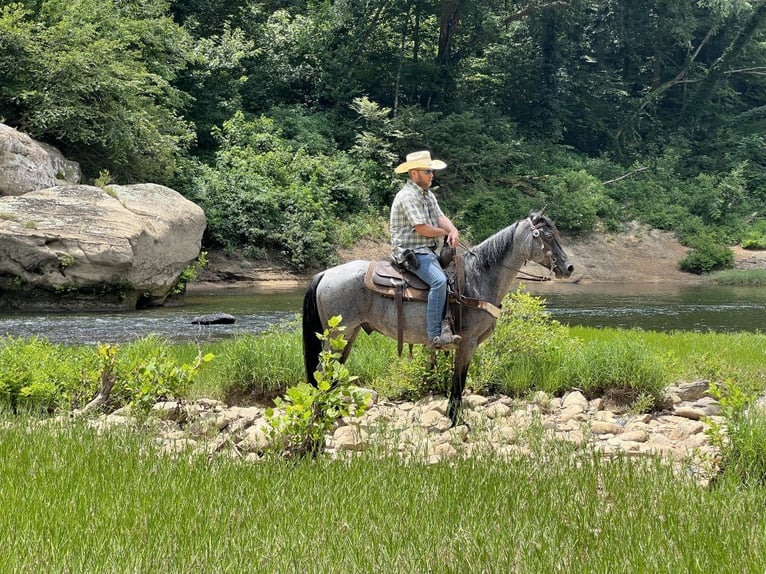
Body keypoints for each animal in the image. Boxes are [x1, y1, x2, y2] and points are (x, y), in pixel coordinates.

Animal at [304, 209, 572, 426]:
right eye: (547, 236)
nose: (568, 268)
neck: (478, 278)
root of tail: (325, 273)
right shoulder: (467, 342)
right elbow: (459, 381)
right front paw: (455, 420)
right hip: (337, 335)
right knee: (321, 371)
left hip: (347, 336)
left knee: (333, 372)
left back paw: (333, 412)